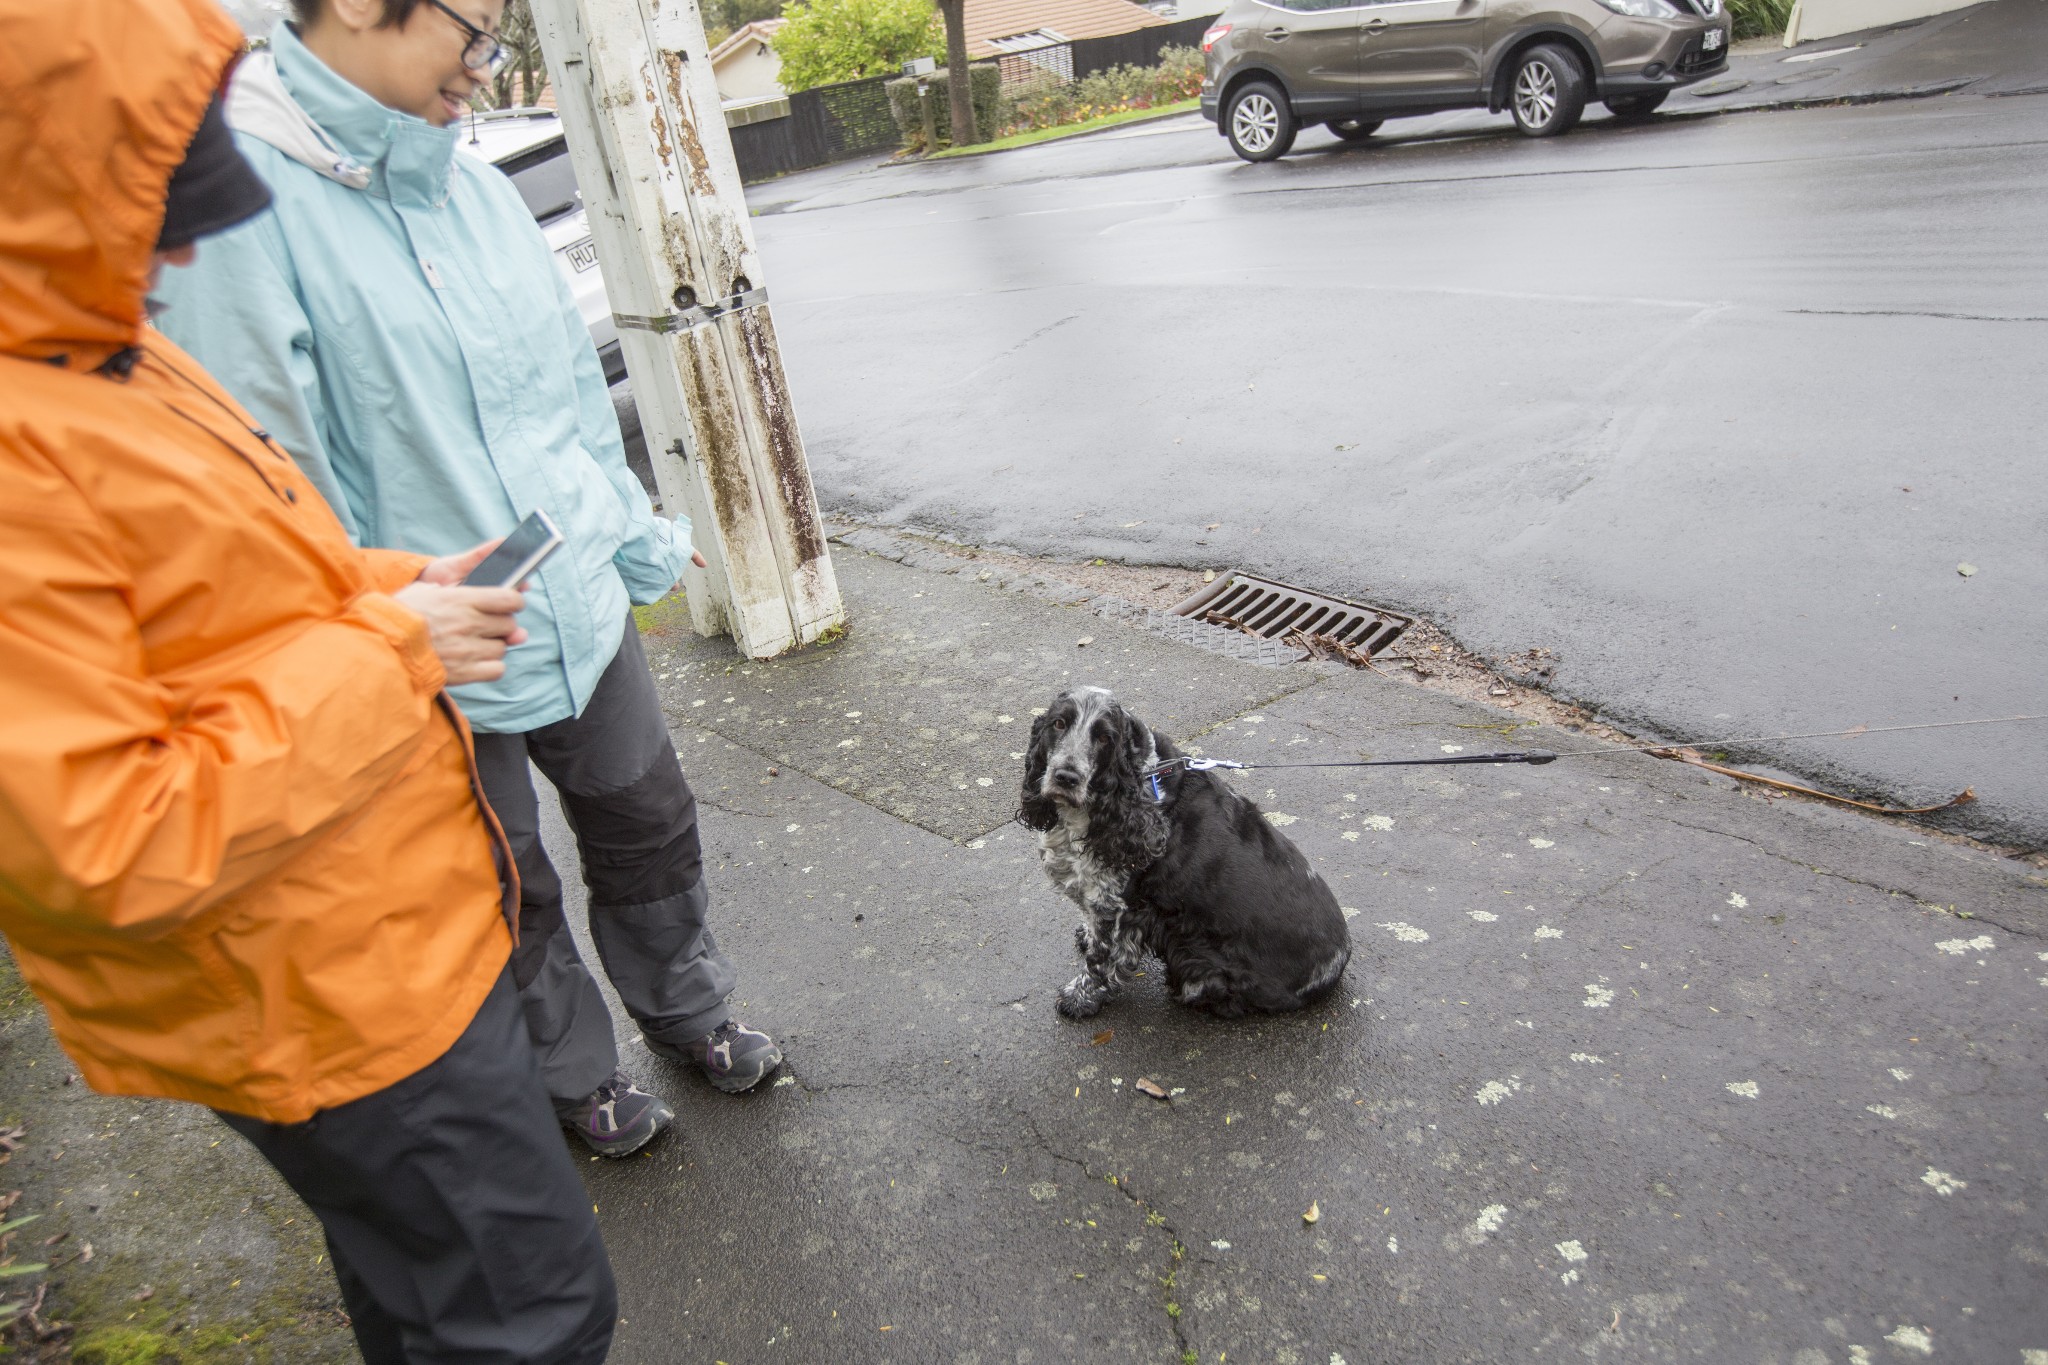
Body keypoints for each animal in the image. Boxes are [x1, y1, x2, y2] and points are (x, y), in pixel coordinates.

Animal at [1015, 687, 1351, 1019]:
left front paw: (1080, 998)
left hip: (1197, 961)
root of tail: (1338, 962)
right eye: (1059, 724)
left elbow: (1101, 959)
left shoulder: (1119, 907)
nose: (1066, 777)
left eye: (1104, 738)